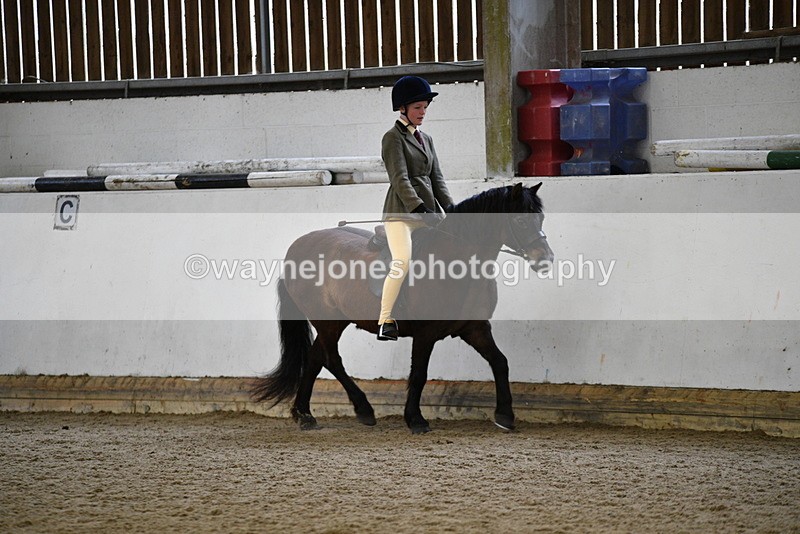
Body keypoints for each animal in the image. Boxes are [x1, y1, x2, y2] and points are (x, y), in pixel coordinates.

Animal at [251, 182, 553, 434]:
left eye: (540, 218)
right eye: (520, 219)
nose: (546, 260)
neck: (455, 263)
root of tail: (296, 249)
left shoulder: (475, 328)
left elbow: (500, 362)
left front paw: (505, 416)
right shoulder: (425, 334)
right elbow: (419, 374)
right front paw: (416, 420)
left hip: (336, 320)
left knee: (316, 358)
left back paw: (306, 415)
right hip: (326, 321)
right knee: (331, 359)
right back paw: (362, 409)